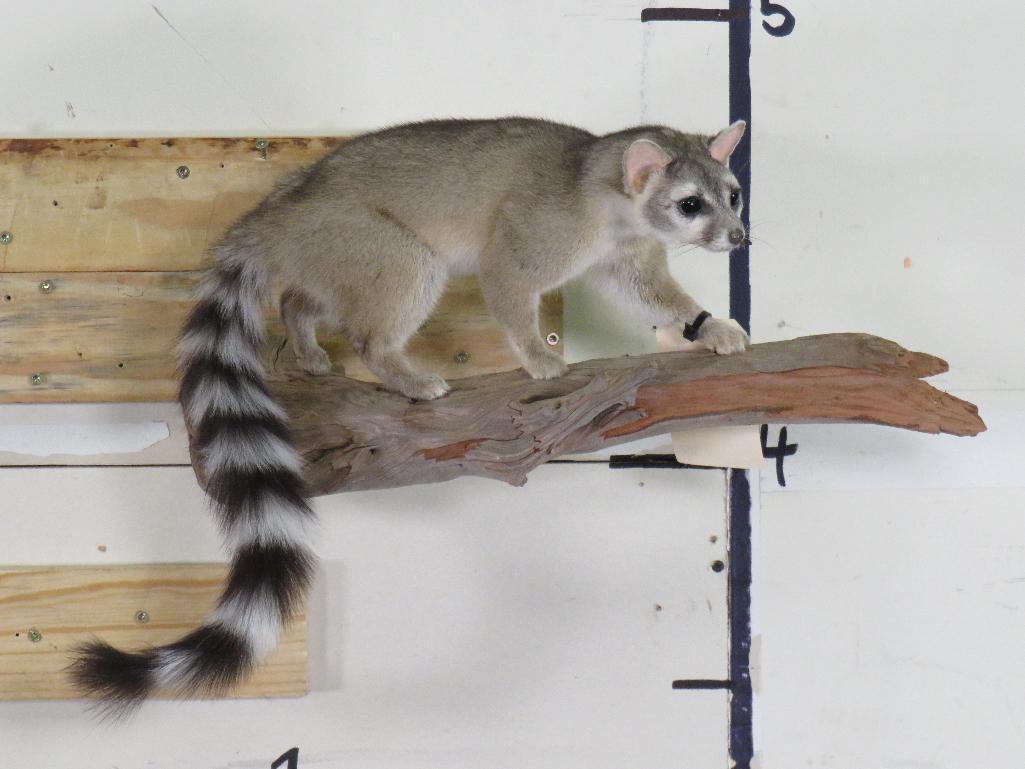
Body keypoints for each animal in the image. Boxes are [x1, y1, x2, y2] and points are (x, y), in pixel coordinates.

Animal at [70, 115, 746, 709]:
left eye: (733, 194)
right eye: (691, 204)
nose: (739, 237)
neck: (605, 180)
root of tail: (281, 210)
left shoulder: (629, 246)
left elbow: (648, 291)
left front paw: (703, 324)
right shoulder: (546, 228)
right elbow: (507, 282)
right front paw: (534, 354)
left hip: (337, 254)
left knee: (305, 296)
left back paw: (303, 329)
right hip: (367, 237)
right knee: (401, 284)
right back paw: (391, 363)